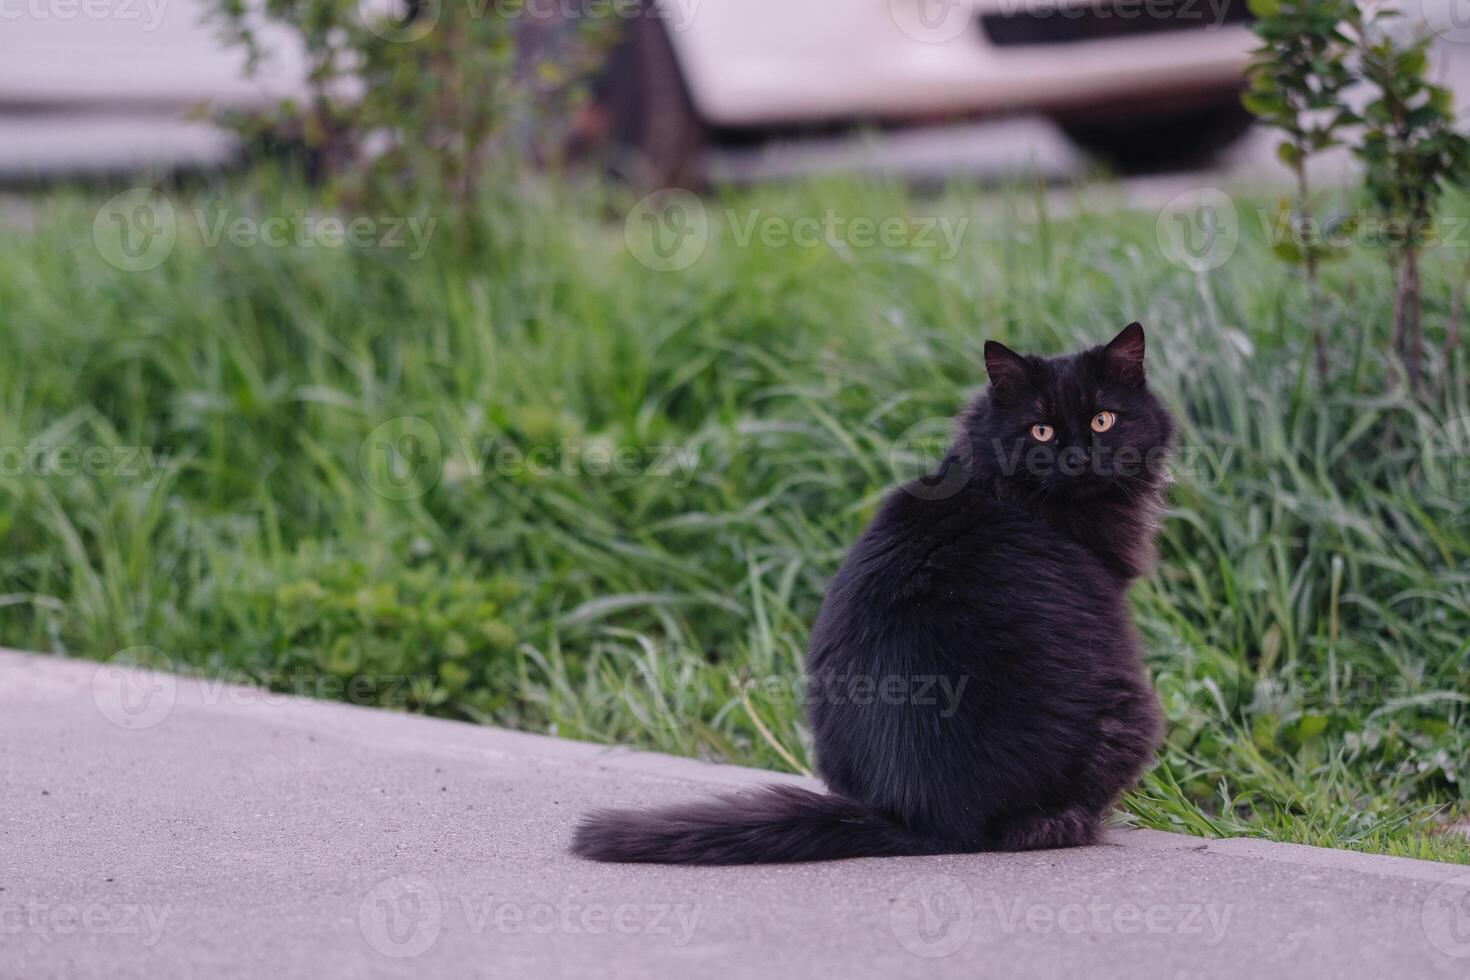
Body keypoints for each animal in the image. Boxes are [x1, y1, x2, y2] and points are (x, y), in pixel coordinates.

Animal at [570, 323, 1170, 863]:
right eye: (1041, 430)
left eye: (1102, 419)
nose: (1079, 458)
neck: (996, 486)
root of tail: (919, 817)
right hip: (1134, 710)